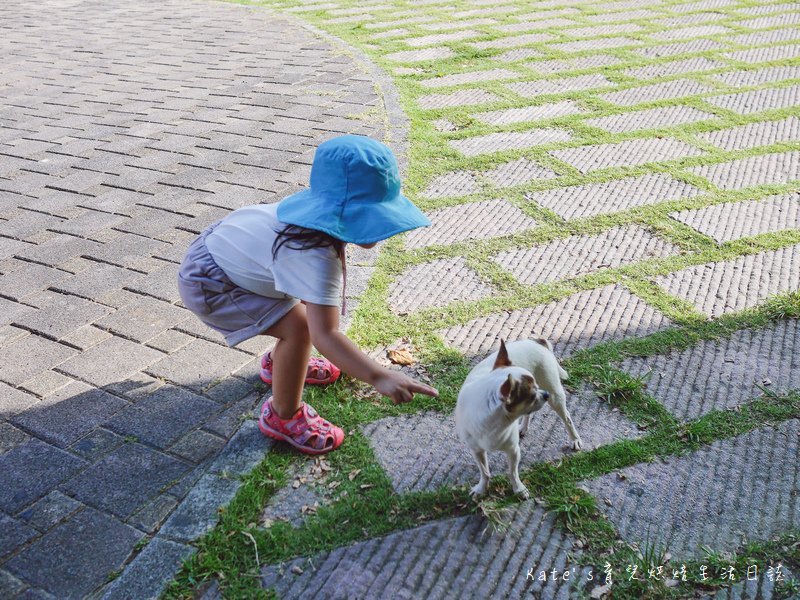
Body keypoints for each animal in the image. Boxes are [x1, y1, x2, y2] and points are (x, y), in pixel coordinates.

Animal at [454, 338, 584, 496]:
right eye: (531, 396)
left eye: (536, 387)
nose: (545, 394)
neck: (494, 422)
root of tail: (536, 341)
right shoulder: (477, 451)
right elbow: (484, 472)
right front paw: (481, 489)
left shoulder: (513, 450)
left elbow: (512, 472)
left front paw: (519, 489)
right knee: (530, 414)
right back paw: (523, 427)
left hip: (555, 396)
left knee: (567, 418)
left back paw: (575, 439)